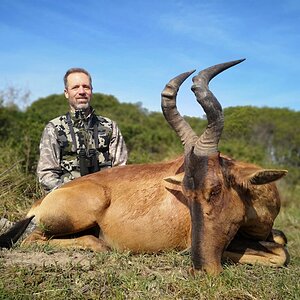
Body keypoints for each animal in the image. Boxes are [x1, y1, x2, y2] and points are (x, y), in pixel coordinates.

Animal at [0, 59, 290, 276]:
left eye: (215, 189)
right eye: (187, 194)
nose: (201, 269)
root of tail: (40, 203)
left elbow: (282, 243)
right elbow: (280, 254)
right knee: (33, 239)